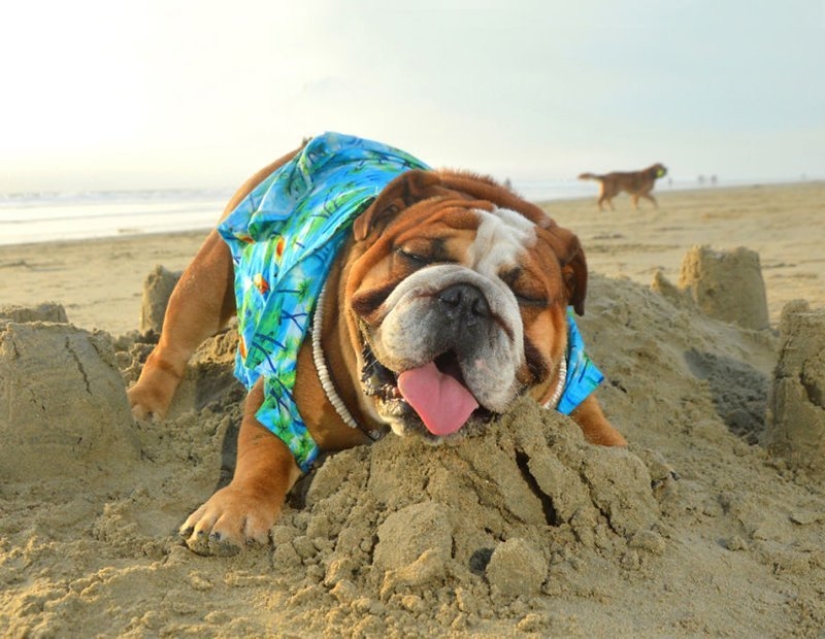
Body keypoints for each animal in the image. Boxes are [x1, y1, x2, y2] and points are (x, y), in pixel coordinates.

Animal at [127, 134, 624, 556]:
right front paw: (236, 507)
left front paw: (622, 469)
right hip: (205, 284)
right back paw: (144, 403)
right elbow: (262, 449)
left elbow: (597, 429)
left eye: (528, 295)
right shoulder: (278, 394)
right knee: (172, 345)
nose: (467, 299)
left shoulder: (574, 385)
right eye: (416, 256)